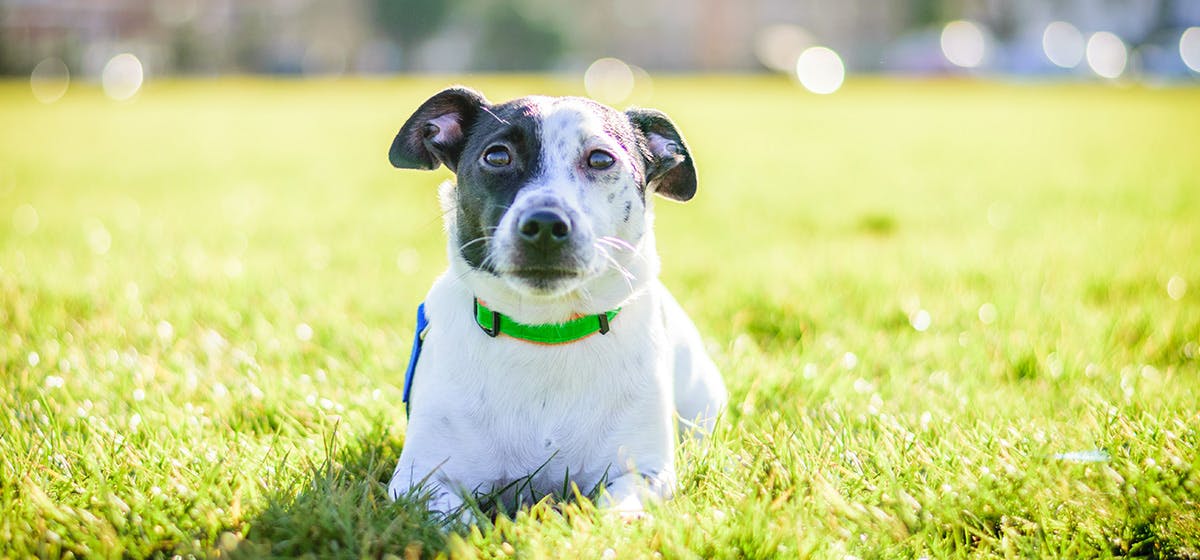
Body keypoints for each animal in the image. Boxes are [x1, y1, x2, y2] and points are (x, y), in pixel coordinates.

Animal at [386, 85, 720, 520]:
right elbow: (451, 518)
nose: (545, 223)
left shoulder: (643, 472)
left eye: (601, 158)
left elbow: (617, 511)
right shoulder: (420, 480)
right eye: (497, 156)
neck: (546, 330)